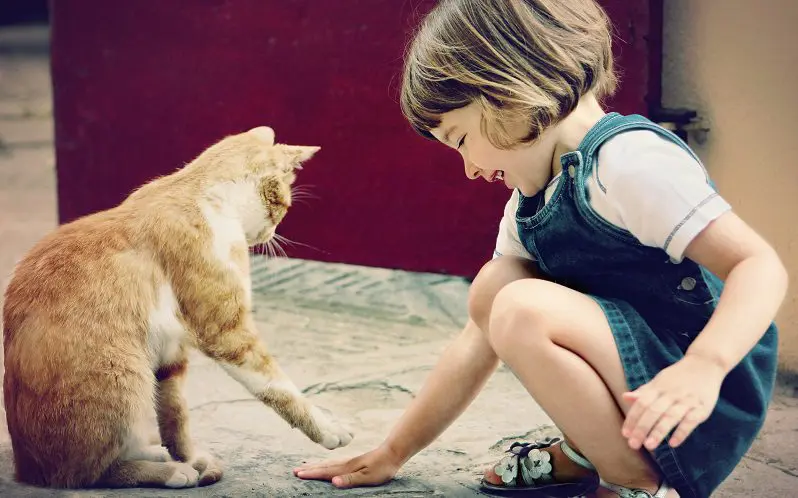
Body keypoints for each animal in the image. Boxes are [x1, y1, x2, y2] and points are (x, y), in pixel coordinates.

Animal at [2, 126, 354, 488]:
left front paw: (190, 457)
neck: (204, 196)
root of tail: (28, 470)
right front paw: (328, 429)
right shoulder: (227, 333)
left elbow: (175, 414)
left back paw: (160, 455)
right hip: (125, 375)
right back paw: (168, 471)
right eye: (284, 206)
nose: (272, 233)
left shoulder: (171, 350)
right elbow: (279, 387)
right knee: (88, 473)